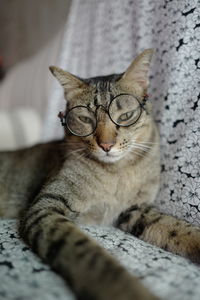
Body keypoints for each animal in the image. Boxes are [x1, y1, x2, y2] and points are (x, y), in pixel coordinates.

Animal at [0, 49, 200, 300]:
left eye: (125, 116)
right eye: (86, 119)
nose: (106, 145)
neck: (117, 174)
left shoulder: (135, 210)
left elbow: (175, 226)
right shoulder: (45, 207)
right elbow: (91, 257)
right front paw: (127, 290)